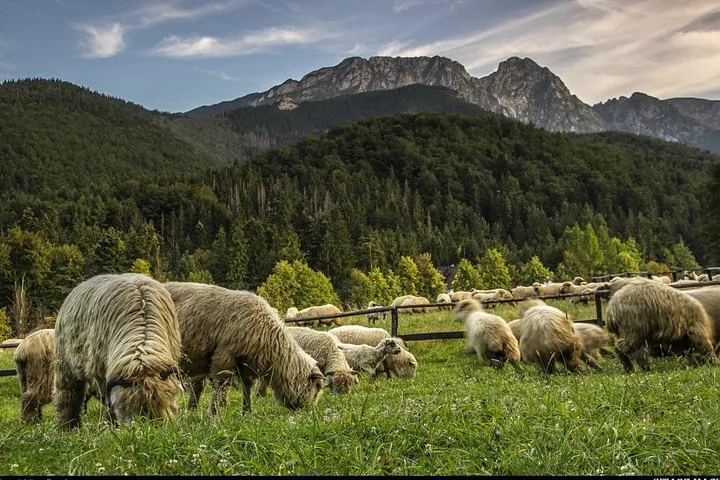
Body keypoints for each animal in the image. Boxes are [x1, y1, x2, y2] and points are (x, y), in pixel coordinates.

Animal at [54, 273, 182, 429]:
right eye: (129, 408)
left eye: (160, 401)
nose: (149, 426)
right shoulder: (101, 375)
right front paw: (108, 426)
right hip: (65, 366)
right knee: (69, 397)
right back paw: (68, 426)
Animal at [165, 282, 325, 414]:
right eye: (317, 387)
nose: (308, 411)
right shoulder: (224, 357)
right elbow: (222, 388)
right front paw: (215, 415)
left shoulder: (245, 365)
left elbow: (247, 388)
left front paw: (247, 412)